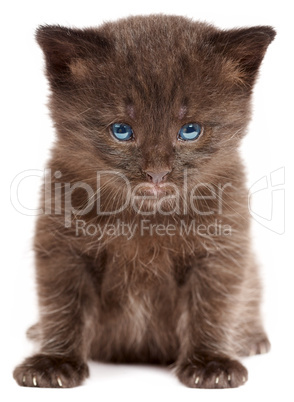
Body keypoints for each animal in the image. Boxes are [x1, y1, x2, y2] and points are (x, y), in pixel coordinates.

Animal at [13, 16, 276, 390]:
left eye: (190, 130)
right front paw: (55, 362)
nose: (157, 174)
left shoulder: (221, 248)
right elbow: (63, 305)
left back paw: (252, 337)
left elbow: (213, 305)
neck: (145, 219)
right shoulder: (62, 246)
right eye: (121, 130)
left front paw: (211, 363)